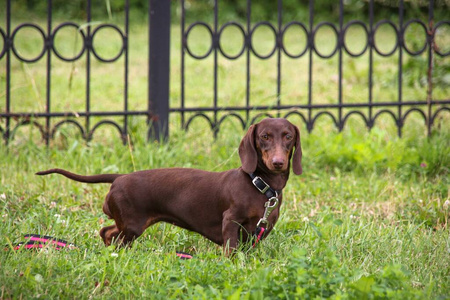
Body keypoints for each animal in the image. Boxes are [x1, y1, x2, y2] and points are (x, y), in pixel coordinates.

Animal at [36, 118, 302, 254]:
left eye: (288, 136)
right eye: (264, 136)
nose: (278, 162)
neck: (260, 186)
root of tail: (120, 177)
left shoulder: (260, 230)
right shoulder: (230, 222)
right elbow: (230, 250)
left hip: (128, 225)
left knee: (107, 232)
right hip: (132, 225)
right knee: (111, 234)